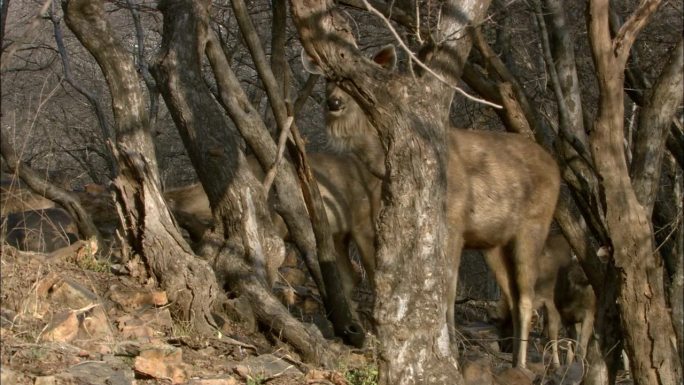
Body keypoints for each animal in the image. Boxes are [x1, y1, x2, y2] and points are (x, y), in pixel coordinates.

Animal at [304, 46, 560, 368]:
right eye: (326, 78)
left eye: (349, 81)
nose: (333, 102)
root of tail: (557, 169)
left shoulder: (454, 223)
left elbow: (446, 289)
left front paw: (452, 350)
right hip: (494, 243)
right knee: (513, 297)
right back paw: (513, 360)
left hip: (534, 225)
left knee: (527, 297)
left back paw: (523, 364)